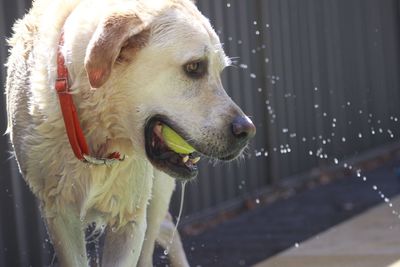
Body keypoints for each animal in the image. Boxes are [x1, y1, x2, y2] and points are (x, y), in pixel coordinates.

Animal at [5, 0, 256, 266]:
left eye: (220, 71)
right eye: (194, 67)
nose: (248, 131)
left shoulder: (130, 216)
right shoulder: (59, 213)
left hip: (156, 195)